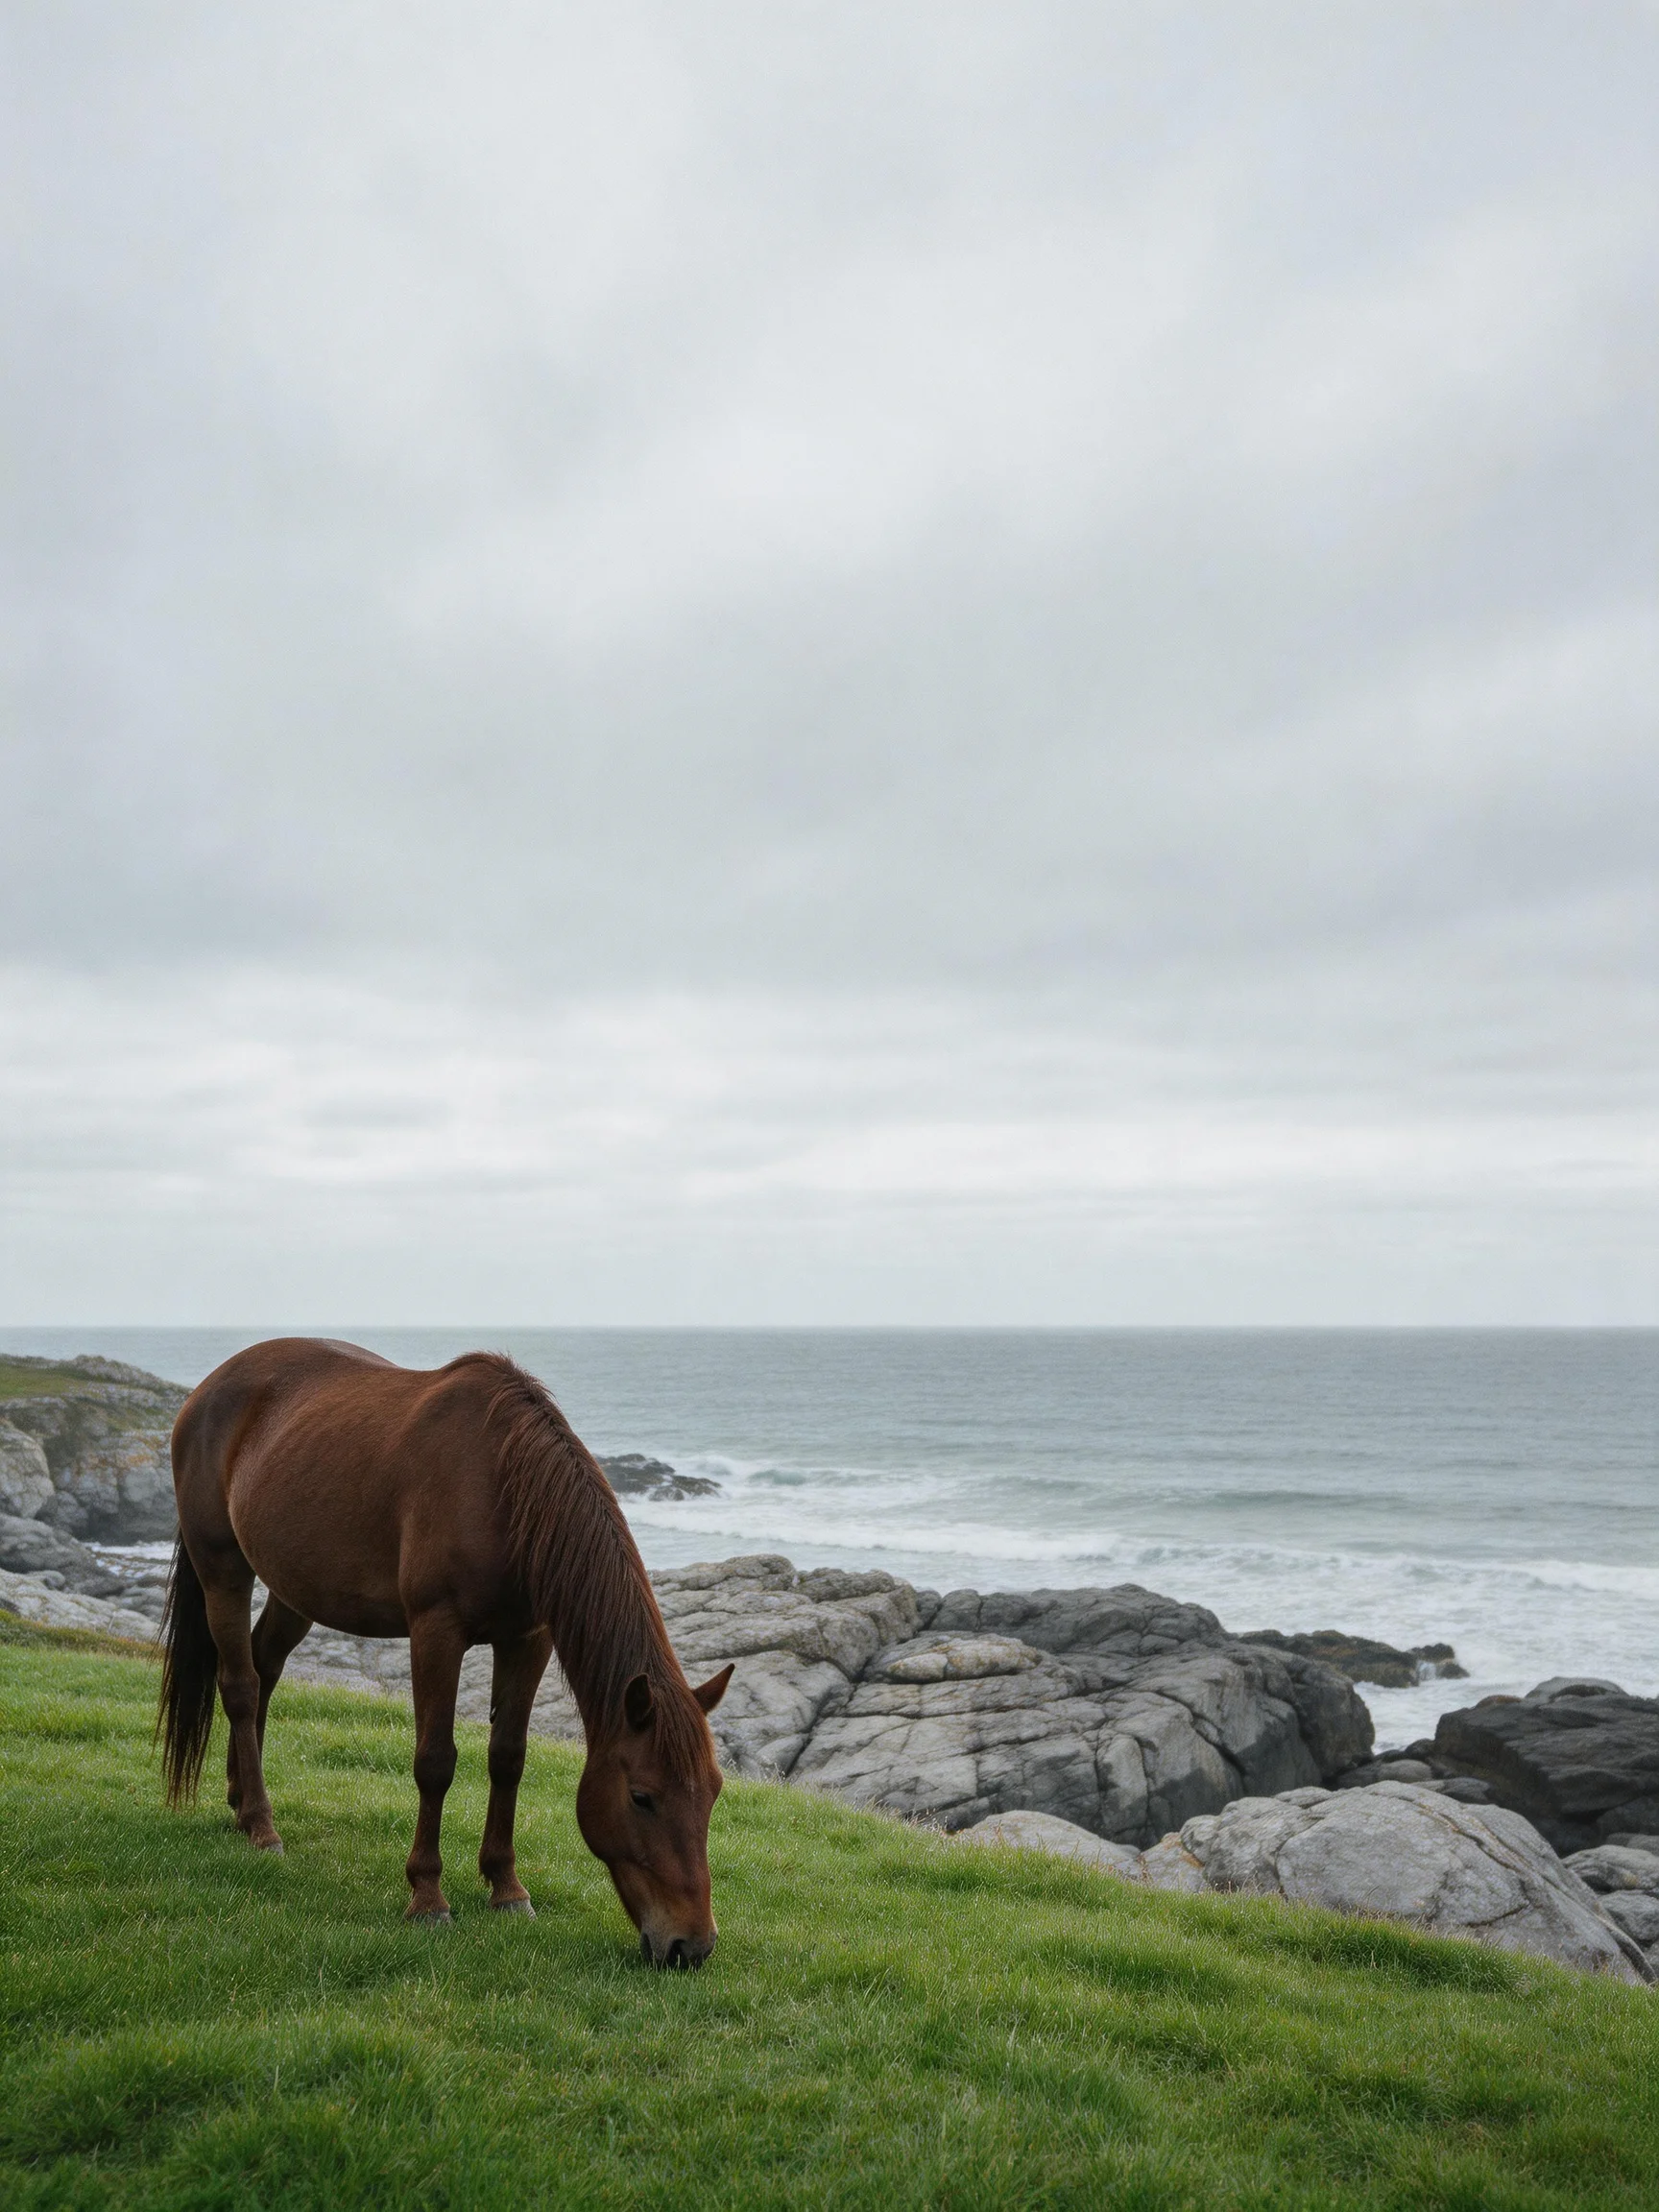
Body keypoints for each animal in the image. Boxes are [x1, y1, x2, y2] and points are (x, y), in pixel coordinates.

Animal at [157, 1337, 732, 1965]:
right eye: (642, 1797)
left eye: (713, 1795)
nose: (692, 1946)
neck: (502, 1484)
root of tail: (207, 1389)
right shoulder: (437, 1632)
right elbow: (435, 1762)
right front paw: (428, 1896)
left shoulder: (528, 1639)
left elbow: (508, 1758)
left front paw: (506, 1887)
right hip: (223, 1571)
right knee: (240, 1687)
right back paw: (262, 1826)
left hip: (295, 1588)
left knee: (264, 1667)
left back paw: (241, 1801)